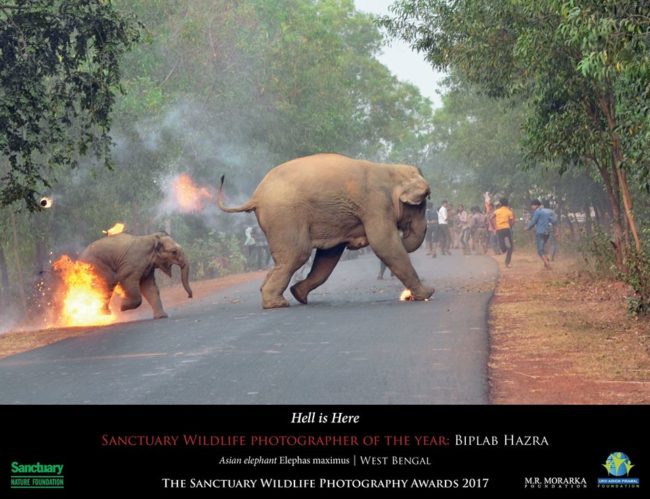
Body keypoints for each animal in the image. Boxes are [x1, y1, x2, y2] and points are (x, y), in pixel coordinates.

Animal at [217, 153, 434, 309]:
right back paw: (277, 304)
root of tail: (256, 196)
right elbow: (384, 244)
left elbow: (329, 255)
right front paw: (427, 294)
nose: (404, 234)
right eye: (421, 205)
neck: (390, 170)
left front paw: (299, 293)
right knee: (298, 254)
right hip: (285, 216)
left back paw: (281, 295)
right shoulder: (375, 205)